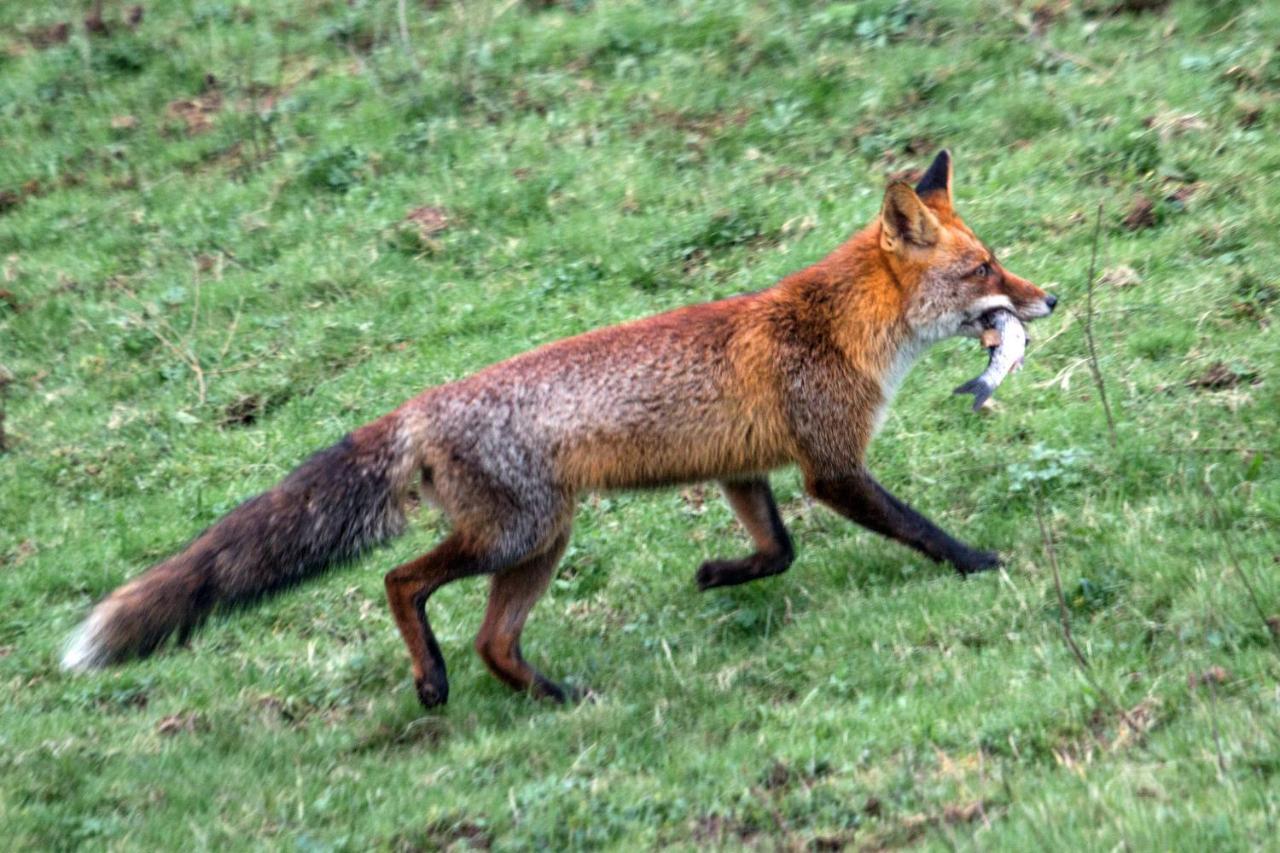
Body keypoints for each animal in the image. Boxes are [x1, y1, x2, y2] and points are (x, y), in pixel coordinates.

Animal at [64, 151, 1054, 701]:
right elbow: (915, 527)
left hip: (537, 543)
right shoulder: (831, 465)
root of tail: (418, 404)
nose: (1046, 298)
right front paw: (980, 562)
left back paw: (553, 695)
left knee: (493, 640)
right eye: (983, 268)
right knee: (399, 579)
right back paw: (433, 679)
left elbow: (777, 551)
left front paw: (715, 573)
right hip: (522, 532)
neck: (836, 327)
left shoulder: (743, 467)